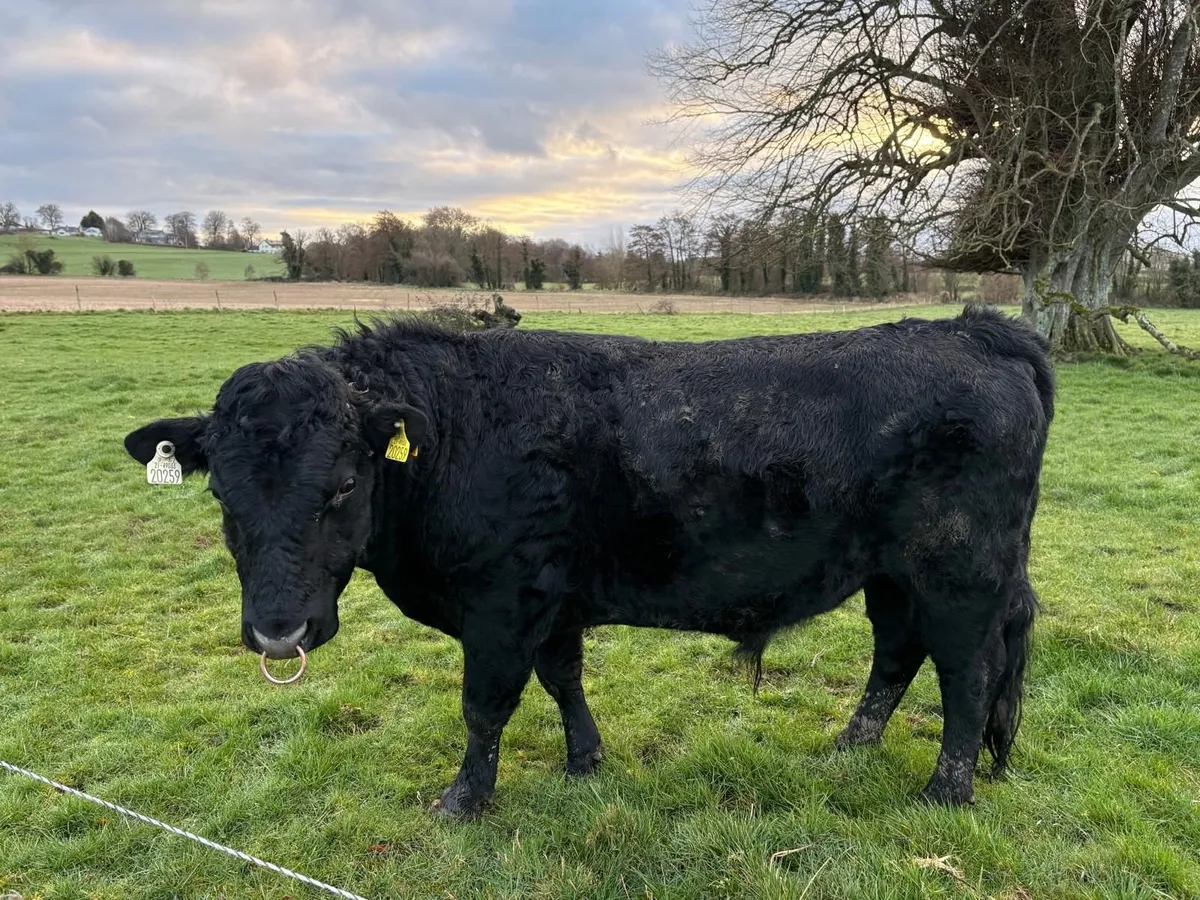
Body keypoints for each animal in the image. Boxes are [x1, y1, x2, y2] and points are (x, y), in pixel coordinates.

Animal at [124, 305, 1055, 818]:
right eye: (222, 494)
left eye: (345, 483)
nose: (278, 632)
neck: (457, 433)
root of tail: (978, 331)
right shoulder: (553, 598)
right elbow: (562, 677)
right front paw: (585, 761)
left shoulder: (502, 602)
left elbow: (485, 707)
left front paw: (463, 800)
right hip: (893, 574)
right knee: (897, 655)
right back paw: (849, 749)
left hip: (959, 572)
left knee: (967, 674)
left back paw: (946, 789)